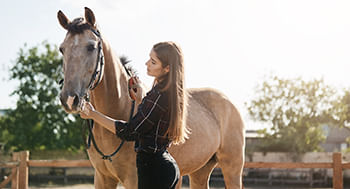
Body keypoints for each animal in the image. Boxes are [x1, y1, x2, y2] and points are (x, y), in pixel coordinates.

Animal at [57, 7, 245, 189]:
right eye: (62, 49)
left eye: (91, 47)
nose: (69, 99)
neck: (121, 107)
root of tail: (228, 102)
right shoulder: (102, 178)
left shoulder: (134, 180)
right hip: (200, 171)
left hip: (232, 169)